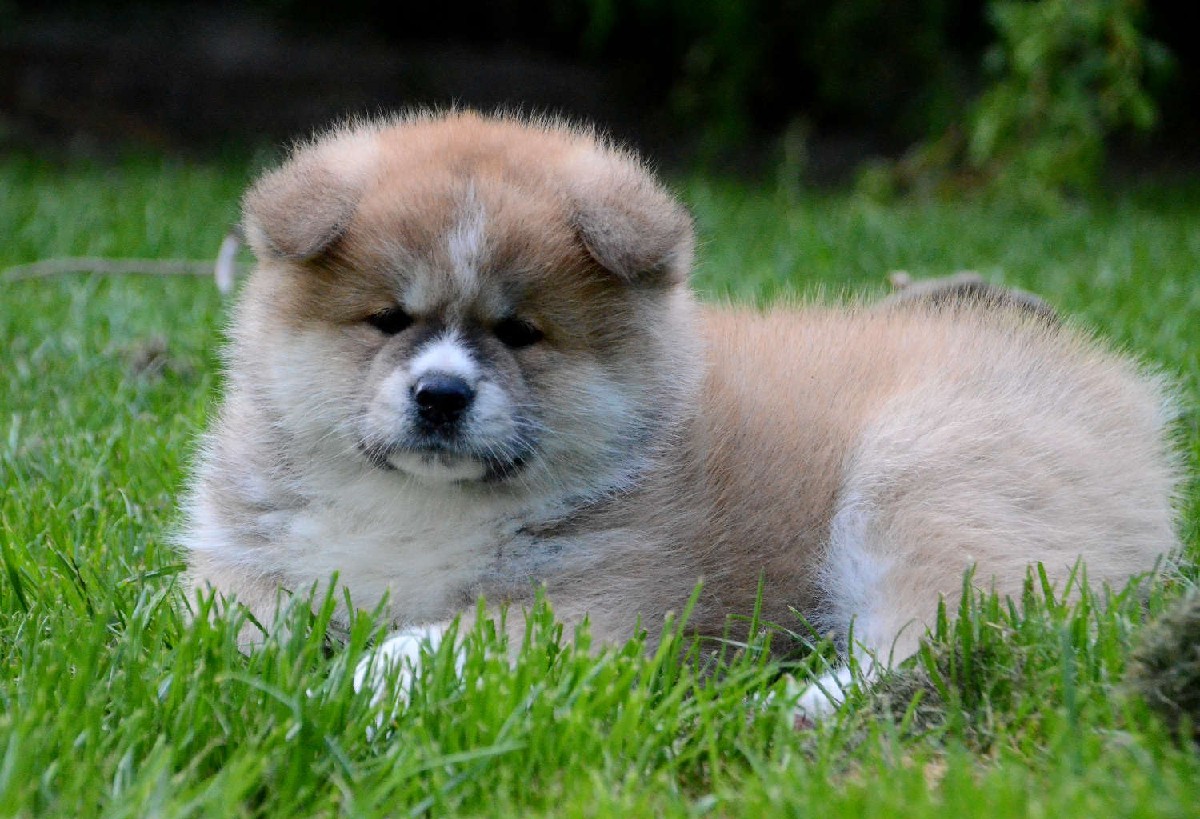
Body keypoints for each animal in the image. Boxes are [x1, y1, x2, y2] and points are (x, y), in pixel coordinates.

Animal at [180, 111, 1180, 717]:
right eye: (388, 319)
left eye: (521, 332)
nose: (441, 394)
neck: (422, 506)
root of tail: (1125, 403)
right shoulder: (243, 556)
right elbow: (221, 621)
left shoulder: (604, 600)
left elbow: (443, 641)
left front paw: (358, 679)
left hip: (931, 478)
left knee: (940, 633)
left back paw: (789, 710)